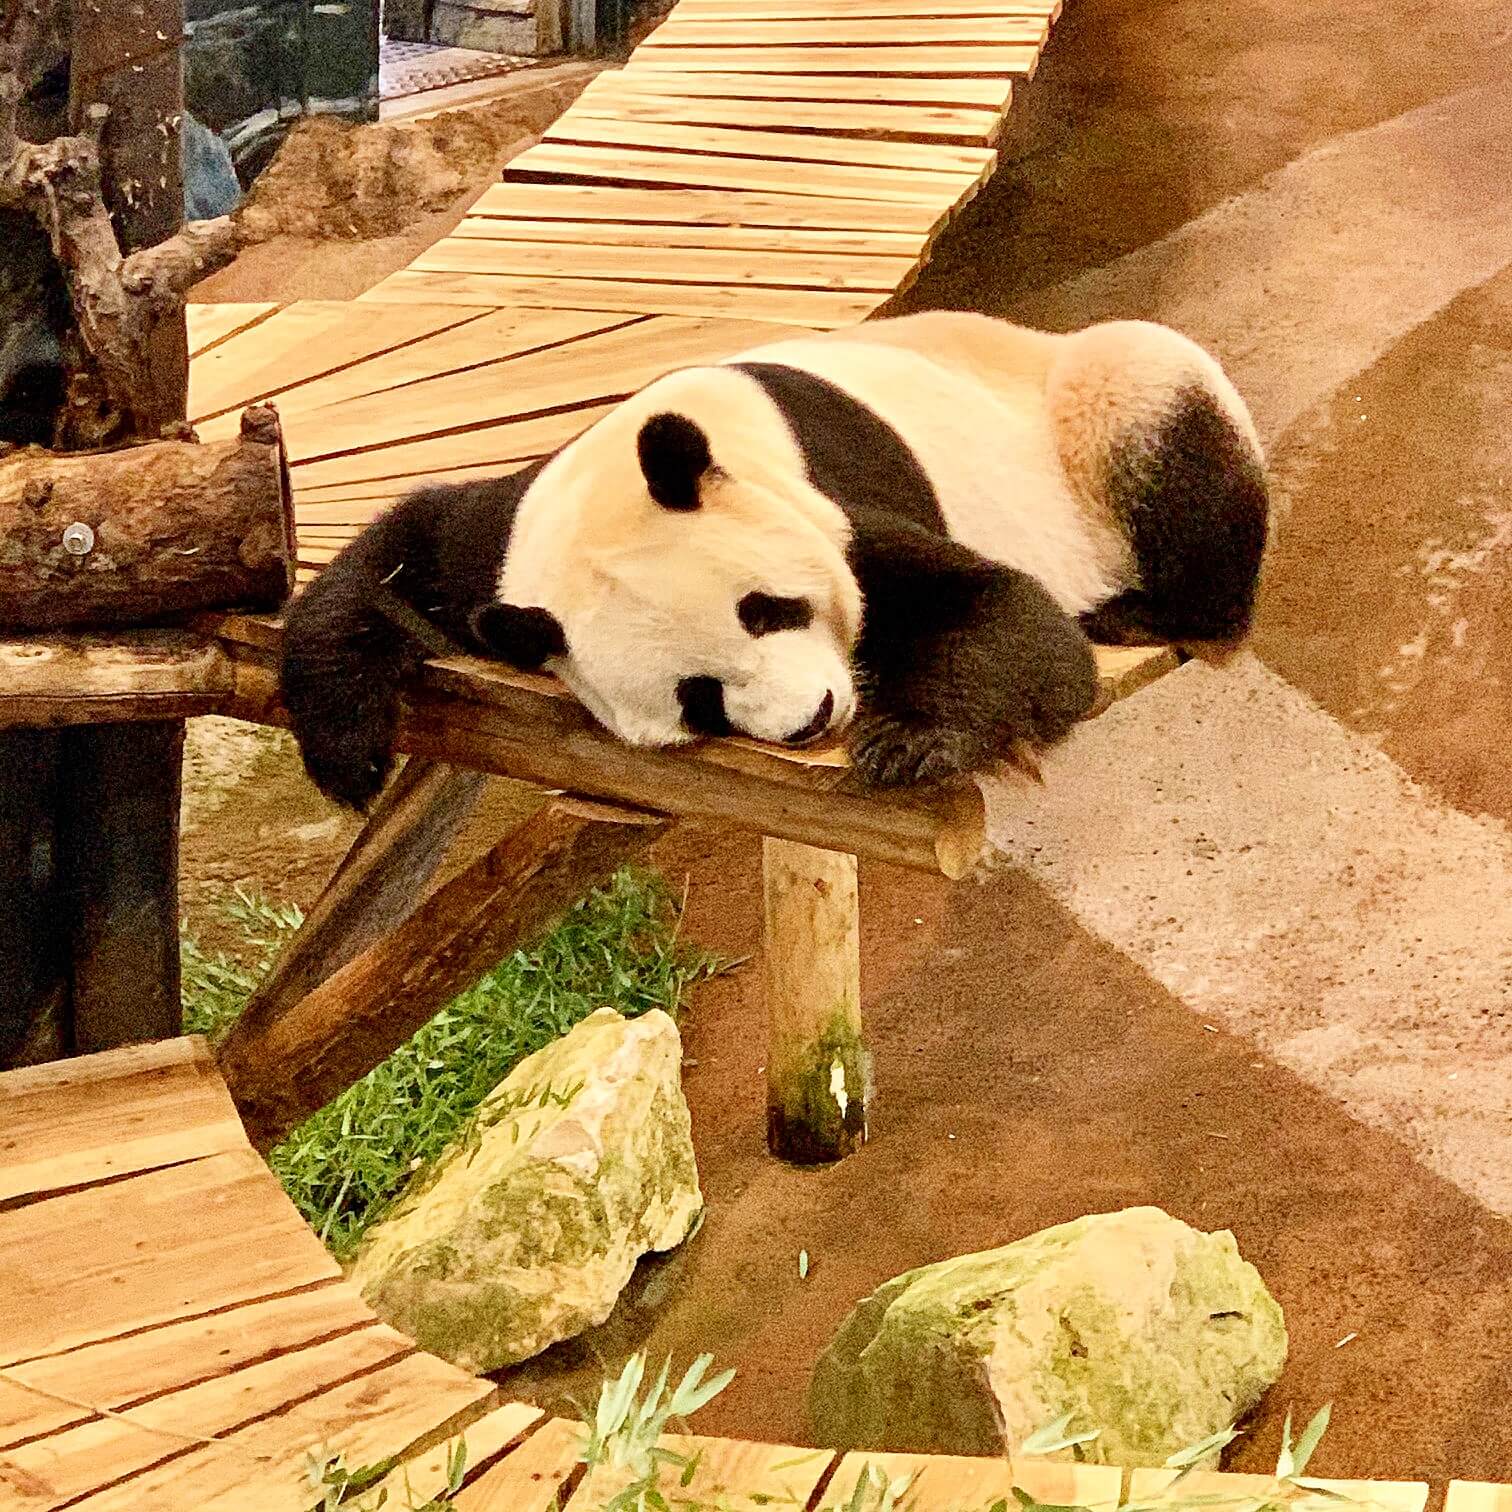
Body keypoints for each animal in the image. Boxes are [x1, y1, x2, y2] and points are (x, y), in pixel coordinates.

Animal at [281, 309, 1264, 816]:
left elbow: (1005, 610)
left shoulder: (814, 498)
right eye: (700, 698)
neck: (621, 474)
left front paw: (911, 741)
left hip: (1084, 409)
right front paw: (346, 752)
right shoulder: (500, 548)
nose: (812, 718)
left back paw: (1146, 611)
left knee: (1154, 408)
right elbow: (395, 554)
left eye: (768, 609)